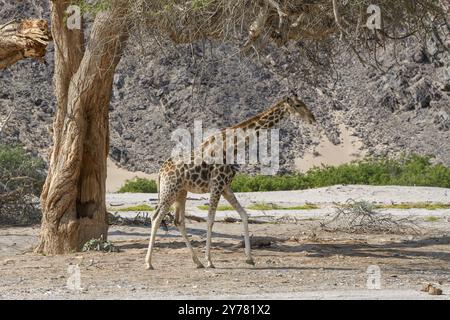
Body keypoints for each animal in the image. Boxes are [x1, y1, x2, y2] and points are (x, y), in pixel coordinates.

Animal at [144, 94, 316, 270]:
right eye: (298, 105)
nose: (312, 118)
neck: (234, 146)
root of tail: (160, 172)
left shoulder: (226, 186)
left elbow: (244, 214)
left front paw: (249, 258)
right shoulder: (217, 184)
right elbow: (210, 219)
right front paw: (210, 260)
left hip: (181, 192)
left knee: (178, 221)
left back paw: (197, 262)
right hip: (170, 191)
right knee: (155, 217)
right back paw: (149, 263)